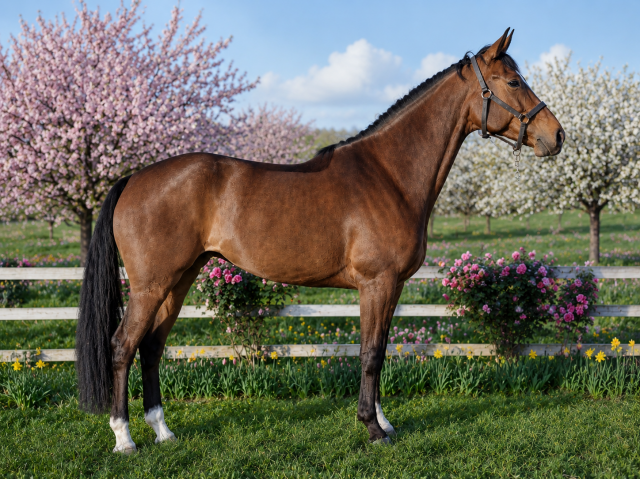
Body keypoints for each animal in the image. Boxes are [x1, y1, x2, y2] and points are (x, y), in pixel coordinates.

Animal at [76, 28, 564, 452]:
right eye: (514, 81)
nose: (556, 135)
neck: (389, 175)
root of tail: (134, 179)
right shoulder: (376, 283)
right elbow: (370, 354)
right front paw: (373, 429)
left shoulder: (390, 287)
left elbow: (379, 349)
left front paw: (383, 420)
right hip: (151, 286)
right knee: (122, 346)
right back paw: (124, 438)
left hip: (178, 281)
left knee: (152, 347)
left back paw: (163, 431)